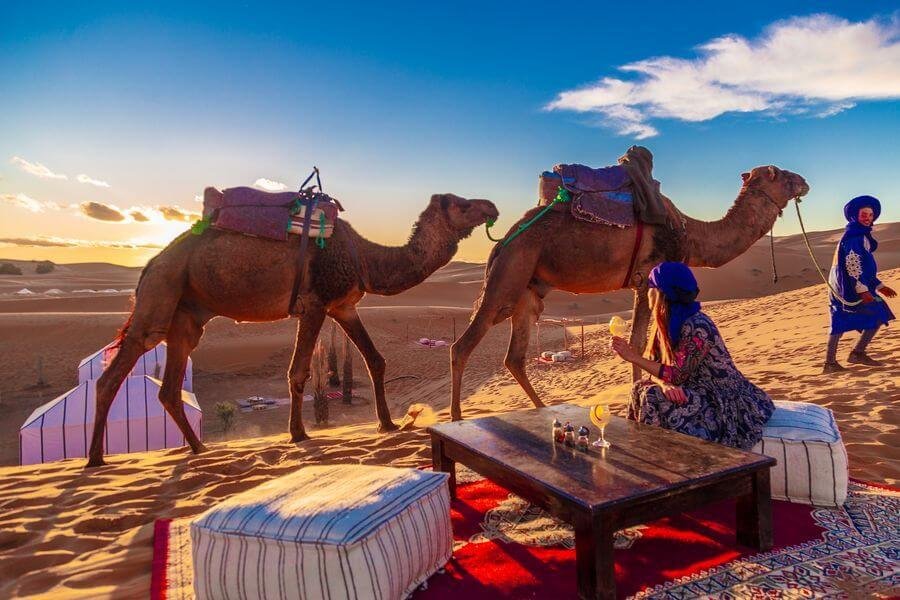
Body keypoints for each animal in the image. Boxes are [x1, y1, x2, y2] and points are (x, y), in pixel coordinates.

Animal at [87, 191, 496, 464]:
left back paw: (199, 447)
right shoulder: (315, 304)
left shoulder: (343, 306)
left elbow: (375, 360)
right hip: (161, 295)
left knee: (170, 387)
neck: (364, 256)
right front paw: (298, 433)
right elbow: (298, 371)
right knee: (114, 373)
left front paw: (388, 424)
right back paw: (94, 459)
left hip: (187, 316)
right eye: (462, 203)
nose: (491, 206)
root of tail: (150, 264)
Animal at [450, 162, 808, 420]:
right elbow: (639, 343)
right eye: (778, 173)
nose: (804, 181)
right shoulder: (647, 278)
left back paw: (543, 410)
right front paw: (635, 400)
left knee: (514, 357)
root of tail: (502, 242)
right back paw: (456, 419)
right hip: (508, 277)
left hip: (528, 292)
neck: (690, 233)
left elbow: (645, 342)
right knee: (462, 345)